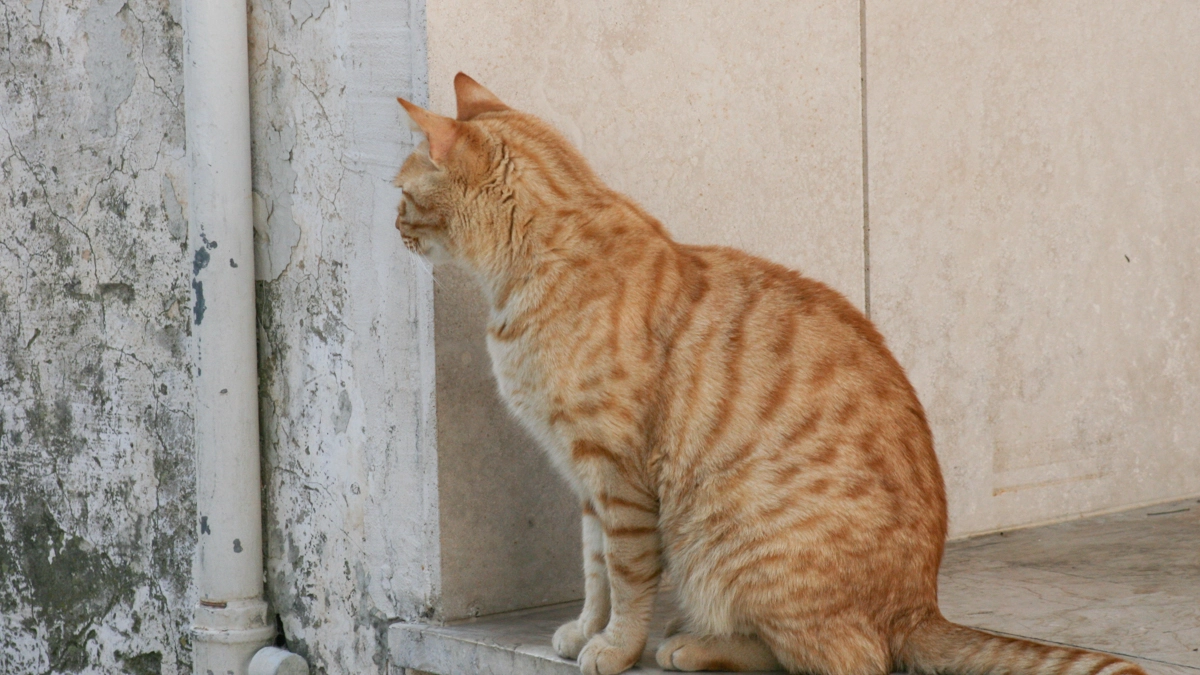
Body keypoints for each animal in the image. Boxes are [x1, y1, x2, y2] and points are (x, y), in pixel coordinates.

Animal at [391, 73, 1142, 672]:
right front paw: (585, 629)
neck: (535, 262)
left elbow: (627, 576)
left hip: (732, 540)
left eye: (399, 192)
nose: (392, 225)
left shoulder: (614, 471)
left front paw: (616, 646)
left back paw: (690, 644)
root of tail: (922, 605)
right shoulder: (584, 477)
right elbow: (594, 567)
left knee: (844, 657)